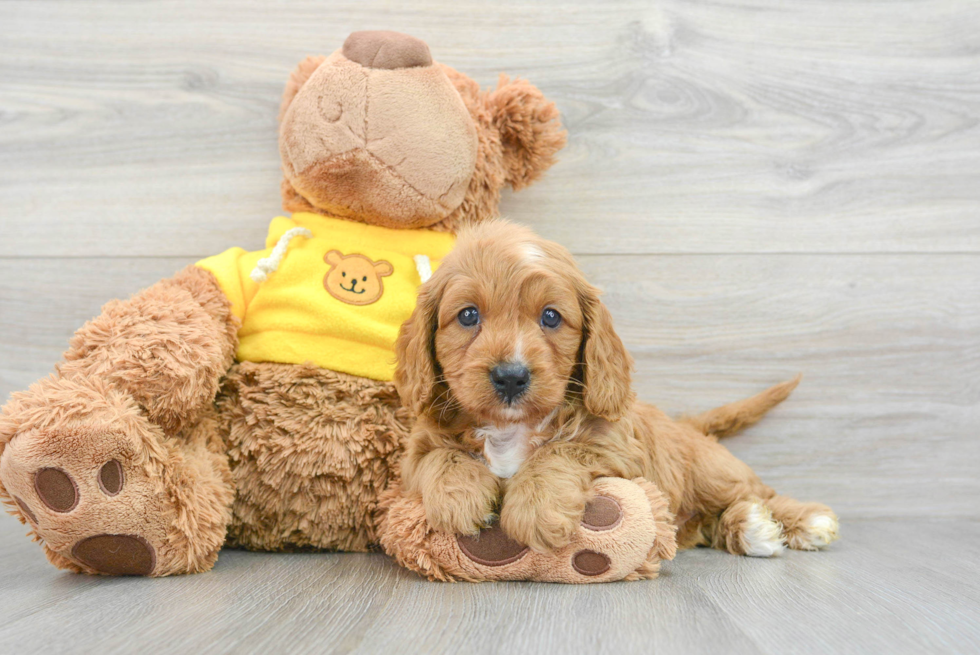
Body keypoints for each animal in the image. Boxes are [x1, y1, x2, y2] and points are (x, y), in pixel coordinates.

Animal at [394, 222, 840, 560]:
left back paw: (803, 521)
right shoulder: (412, 455)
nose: (510, 376)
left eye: (551, 317)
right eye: (468, 315)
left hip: (711, 472)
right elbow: (441, 456)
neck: (511, 429)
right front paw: (459, 497)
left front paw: (536, 508)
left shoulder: (618, 449)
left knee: (758, 490)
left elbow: (559, 451)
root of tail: (688, 425)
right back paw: (749, 527)